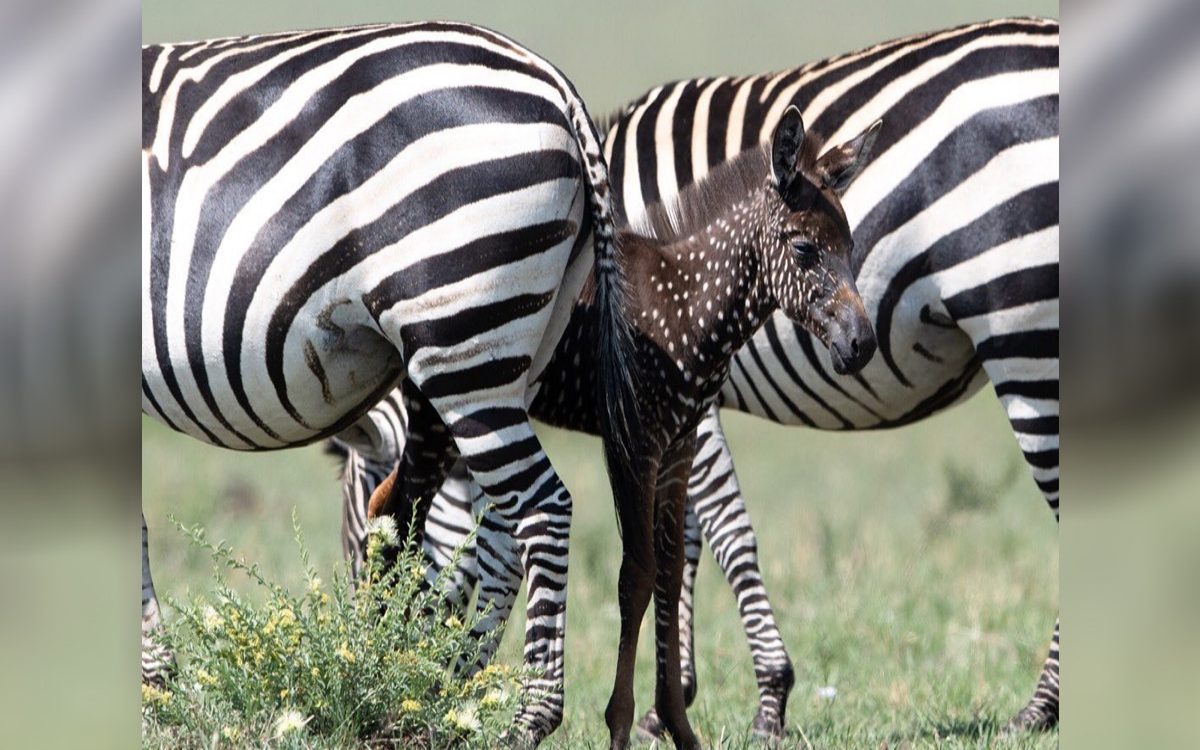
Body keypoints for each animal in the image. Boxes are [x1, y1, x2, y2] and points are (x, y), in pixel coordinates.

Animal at [141, 21, 627, 744]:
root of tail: (556, 84)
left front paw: (155, 689)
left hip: (460, 336)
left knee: (542, 509)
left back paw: (523, 718)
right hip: (508, 350)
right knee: (479, 522)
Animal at [335, 15, 1059, 738]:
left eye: (352, 544)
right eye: (807, 249)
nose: (391, 663)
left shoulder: (677, 418)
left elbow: (699, 541)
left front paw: (742, 701)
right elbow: (675, 545)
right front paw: (673, 700)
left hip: (1025, 337)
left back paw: (1038, 708)